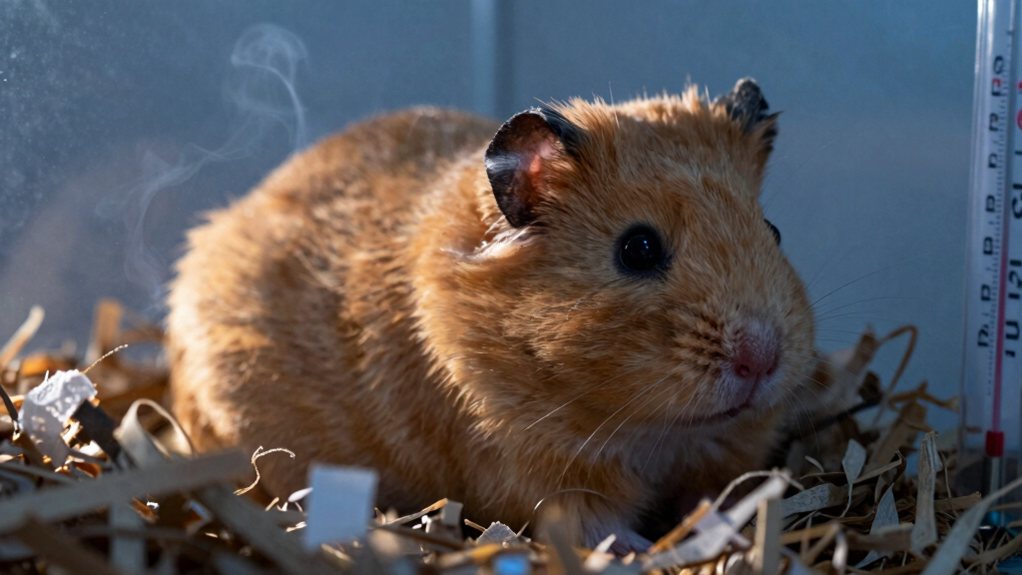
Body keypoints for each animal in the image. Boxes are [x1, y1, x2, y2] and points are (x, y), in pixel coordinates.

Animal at [167, 78, 815, 549]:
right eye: (638, 249)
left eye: (774, 231)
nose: (761, 359)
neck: (653, 431)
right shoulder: (532, 468)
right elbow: (598, 529)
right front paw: (641, 549)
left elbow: (715, 497)